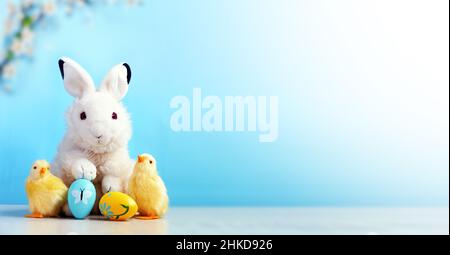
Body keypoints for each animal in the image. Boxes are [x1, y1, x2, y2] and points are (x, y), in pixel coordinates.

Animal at [51, 56, 134, 214]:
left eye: (114, 115)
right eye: (82, 115)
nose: (98, 133)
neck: (97, 152)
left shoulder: (117, 162)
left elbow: (112, 176)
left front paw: (109, 187)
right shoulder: (69, 155)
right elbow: (77, 162)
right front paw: (87, 171)